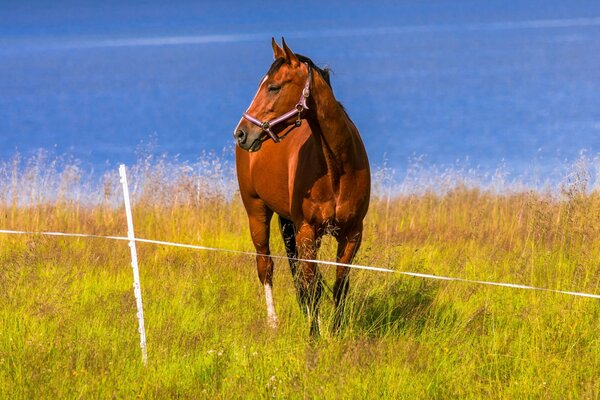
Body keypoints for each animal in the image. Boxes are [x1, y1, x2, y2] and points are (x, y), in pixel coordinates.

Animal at [234, 39, 370, 336]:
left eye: (274, 87)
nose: (241, 133)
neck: (337, 167)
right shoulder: (307, 230)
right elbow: (313, 287)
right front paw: (314, 336)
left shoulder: (352, 234)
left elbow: (339, 286)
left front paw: (335, 331)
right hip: (257, 212)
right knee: (266, 266)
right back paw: (273, 324)